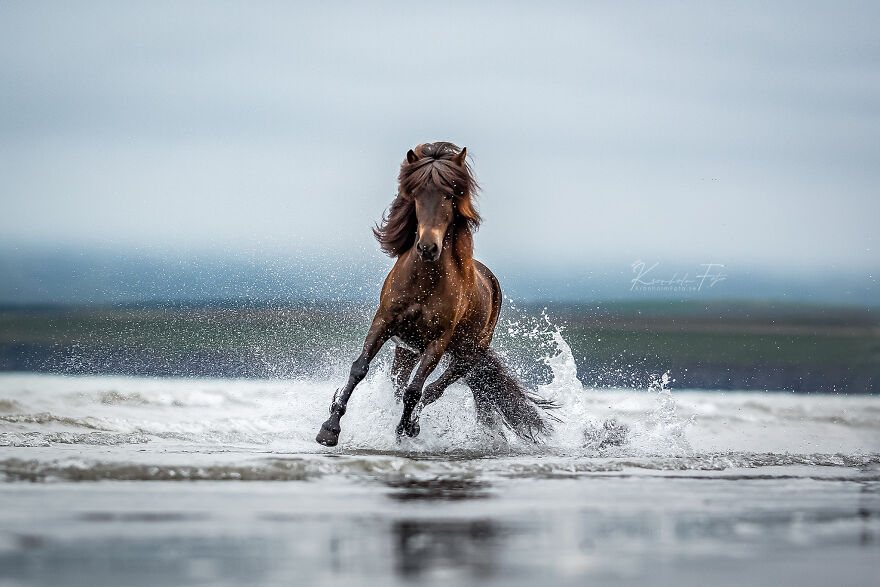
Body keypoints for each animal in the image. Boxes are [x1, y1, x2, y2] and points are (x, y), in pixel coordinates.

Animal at [316, 142, 557, 447]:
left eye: (450, 195)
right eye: (416, 194)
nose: (428, 247)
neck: (424, 283)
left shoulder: (438, 341)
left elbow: (415, 390)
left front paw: (403, 430)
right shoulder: (384, 321)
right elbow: (360, 368)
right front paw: (329, 429)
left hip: (468, 354)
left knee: (432, 389)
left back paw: (413, 425)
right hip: (407, 350)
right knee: (401, 385)